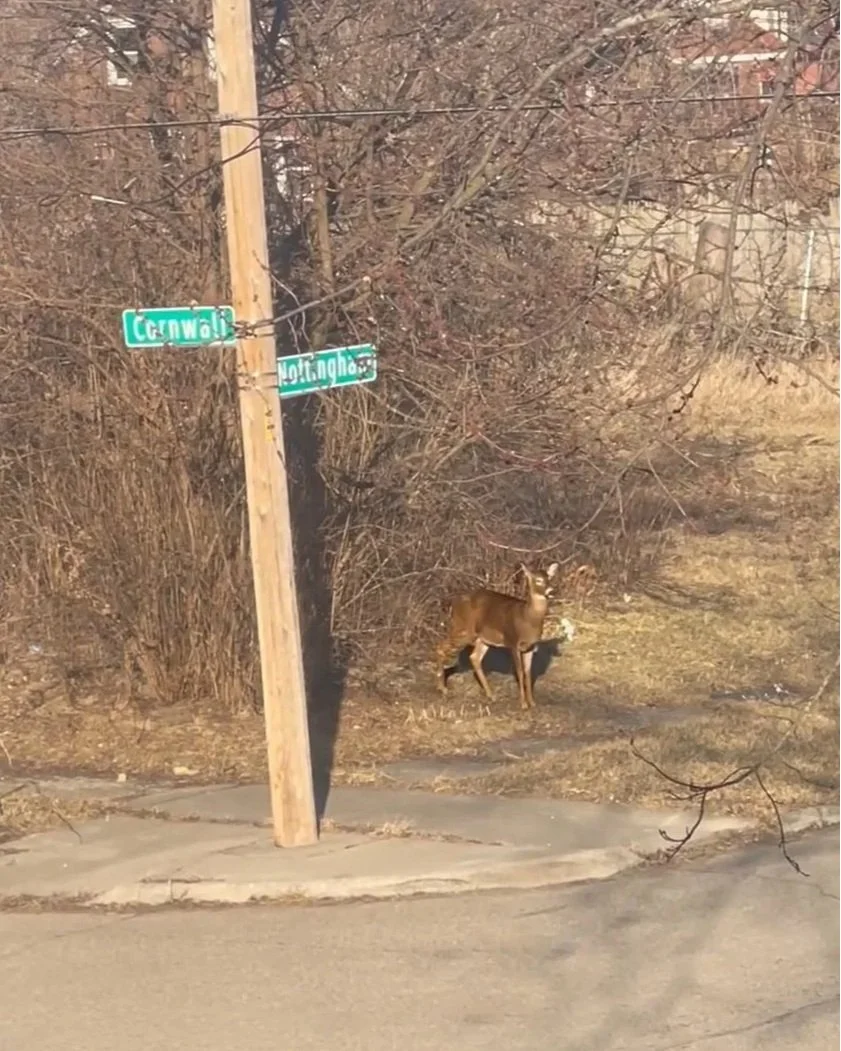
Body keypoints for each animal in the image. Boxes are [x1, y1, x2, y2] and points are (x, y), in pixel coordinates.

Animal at [435, 562, 560, 710]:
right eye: (538, 580)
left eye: (549, 578)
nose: (551, 591)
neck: (527, 618)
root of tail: (453, 603)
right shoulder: (513, 641)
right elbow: (520, 672)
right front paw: (523, 704)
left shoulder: (530, 647)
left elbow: (528, 672)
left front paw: (532, 702)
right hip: (463, 629)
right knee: (440, 647)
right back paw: (442, 688)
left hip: (482, 638)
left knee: (474, 657)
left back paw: (491, 695)